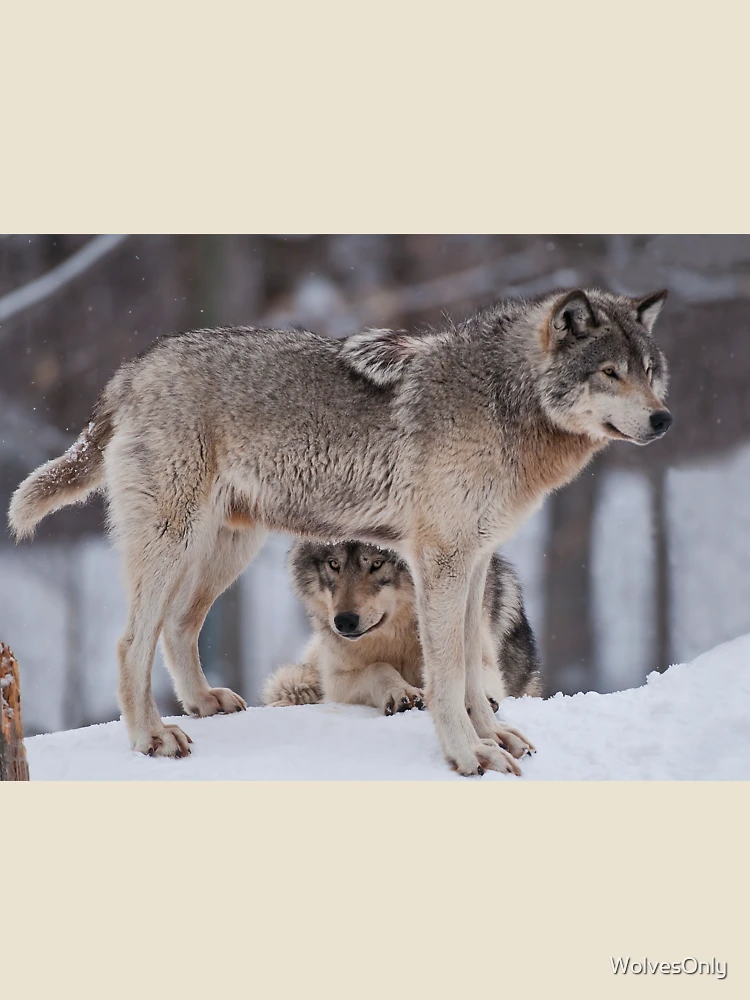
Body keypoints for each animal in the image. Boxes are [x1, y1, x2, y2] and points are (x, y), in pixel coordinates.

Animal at [262, 542, 541, 738]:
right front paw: (401, 692)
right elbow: (378, 668)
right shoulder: (335, 681)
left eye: (377, 563)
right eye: (333, 564)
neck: (397, 636)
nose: (344, 621)